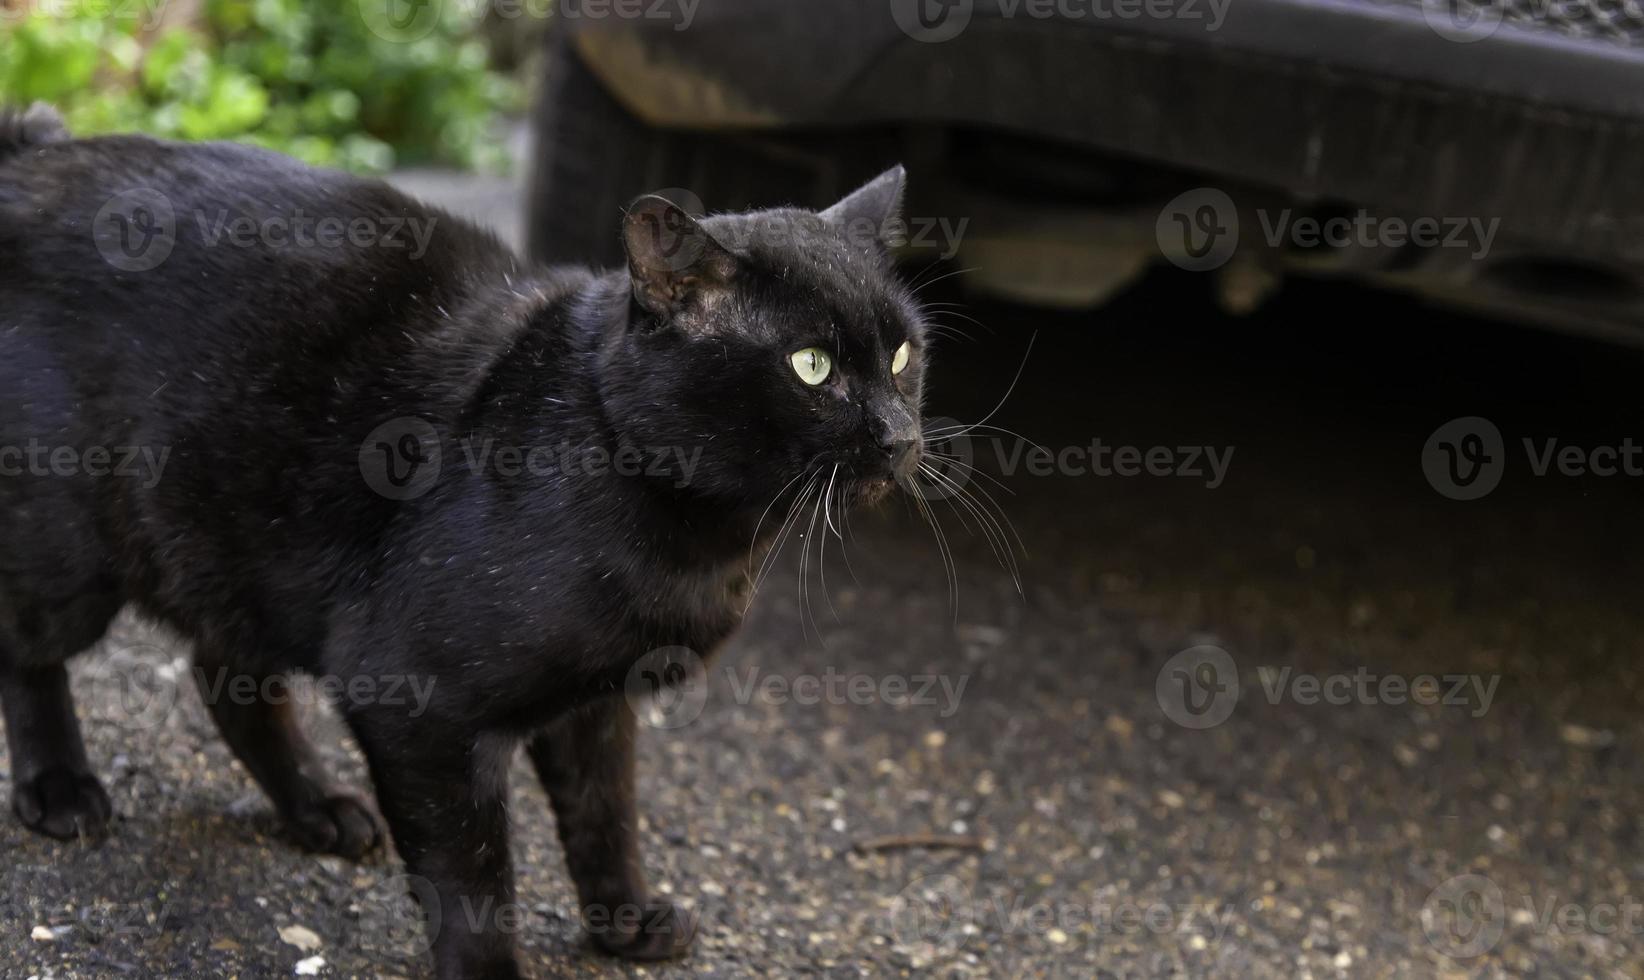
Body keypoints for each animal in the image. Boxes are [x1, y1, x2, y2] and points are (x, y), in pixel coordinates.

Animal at [0, 103, 927, 973]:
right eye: (812, 367)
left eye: (904, 357)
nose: (901, 436)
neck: (703, 539)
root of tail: (33, 150)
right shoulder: (419, 707)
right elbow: (474, 878)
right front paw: (492, 972)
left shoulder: (600, 704)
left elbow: (607, 817)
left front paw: (625, 921)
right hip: (73, 555)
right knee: (31, 652)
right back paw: (61, 789)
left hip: (237, 551)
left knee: (222, 675)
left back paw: (316, 808)